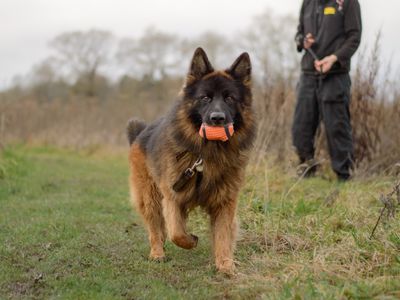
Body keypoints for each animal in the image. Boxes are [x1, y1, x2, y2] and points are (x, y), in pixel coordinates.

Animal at [128, 47, 256, 274]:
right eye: (205, 98)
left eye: (229, 98)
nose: (217, 118)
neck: (208, 154)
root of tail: (140, 132)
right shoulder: (172, 196)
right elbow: (176, 232)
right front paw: (191, 240)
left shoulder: (225, 201)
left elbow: (223, 234)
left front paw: (225, 265)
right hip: (150, 198)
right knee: (156, 229)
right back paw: (157, 253)